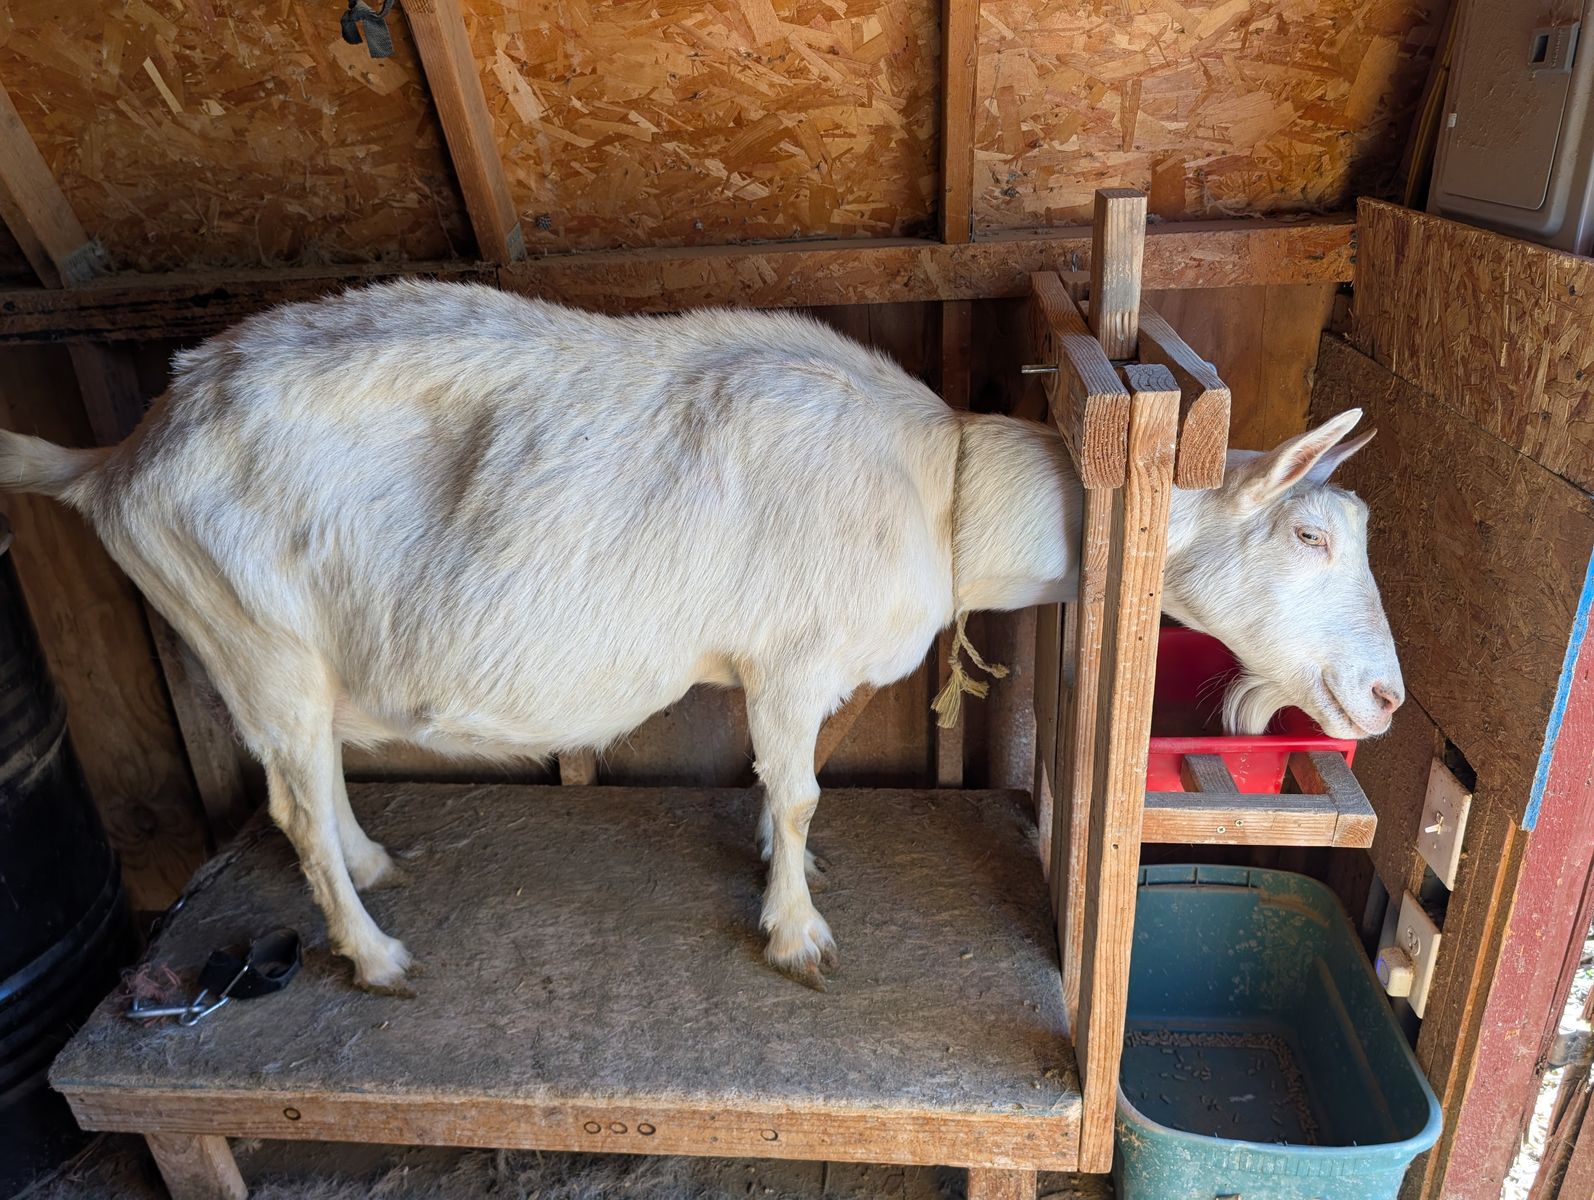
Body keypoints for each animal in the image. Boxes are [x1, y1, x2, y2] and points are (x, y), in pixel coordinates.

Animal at [0, 281, 1402, 991]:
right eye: (1309, 536)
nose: (1385, 702)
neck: (936, 486)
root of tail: (116, 460)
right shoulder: (789, 661)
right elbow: (796, 789)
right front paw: (795, 934)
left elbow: (783, 787)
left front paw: (788, 885)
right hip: (253, 633)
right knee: (288, 803)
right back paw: (377, 953)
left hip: (279, 653)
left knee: (310, 782)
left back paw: (376, 863)